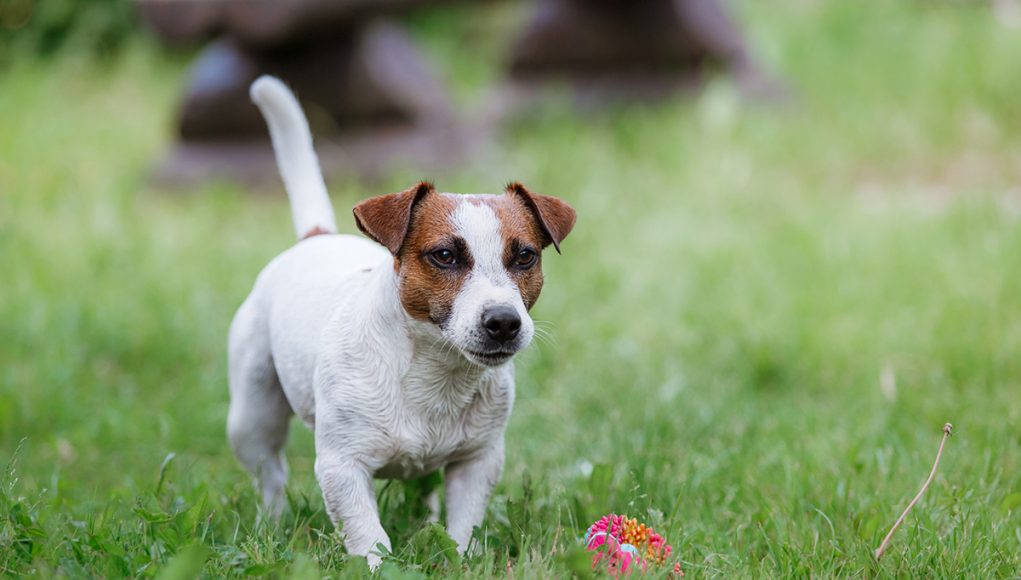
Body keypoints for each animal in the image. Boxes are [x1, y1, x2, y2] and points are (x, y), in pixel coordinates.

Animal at [225, 77, 575, 567]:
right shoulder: (342, 467)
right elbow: (368, 535)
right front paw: (376, 567)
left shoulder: (478, 461)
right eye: (444, 255)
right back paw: (273, 524)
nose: (504, 322)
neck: (434, 372)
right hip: (252, 413)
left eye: (525, 256)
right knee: (270, 474)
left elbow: (462, 527)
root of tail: (317, 238)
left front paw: (458, 559)